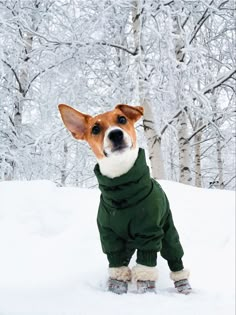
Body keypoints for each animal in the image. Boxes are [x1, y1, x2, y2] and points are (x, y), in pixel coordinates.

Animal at [58, 105, 192, 296]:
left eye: (122, 119)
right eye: (95, 129)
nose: (115, 134)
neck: (123, 190)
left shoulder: (149, 233)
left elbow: (146, 269)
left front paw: (147, 294)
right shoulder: (109, 236)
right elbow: (117, 266)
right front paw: (116, 290)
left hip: (167, 232)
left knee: (174, 255)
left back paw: (183, 285)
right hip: (127, 243)